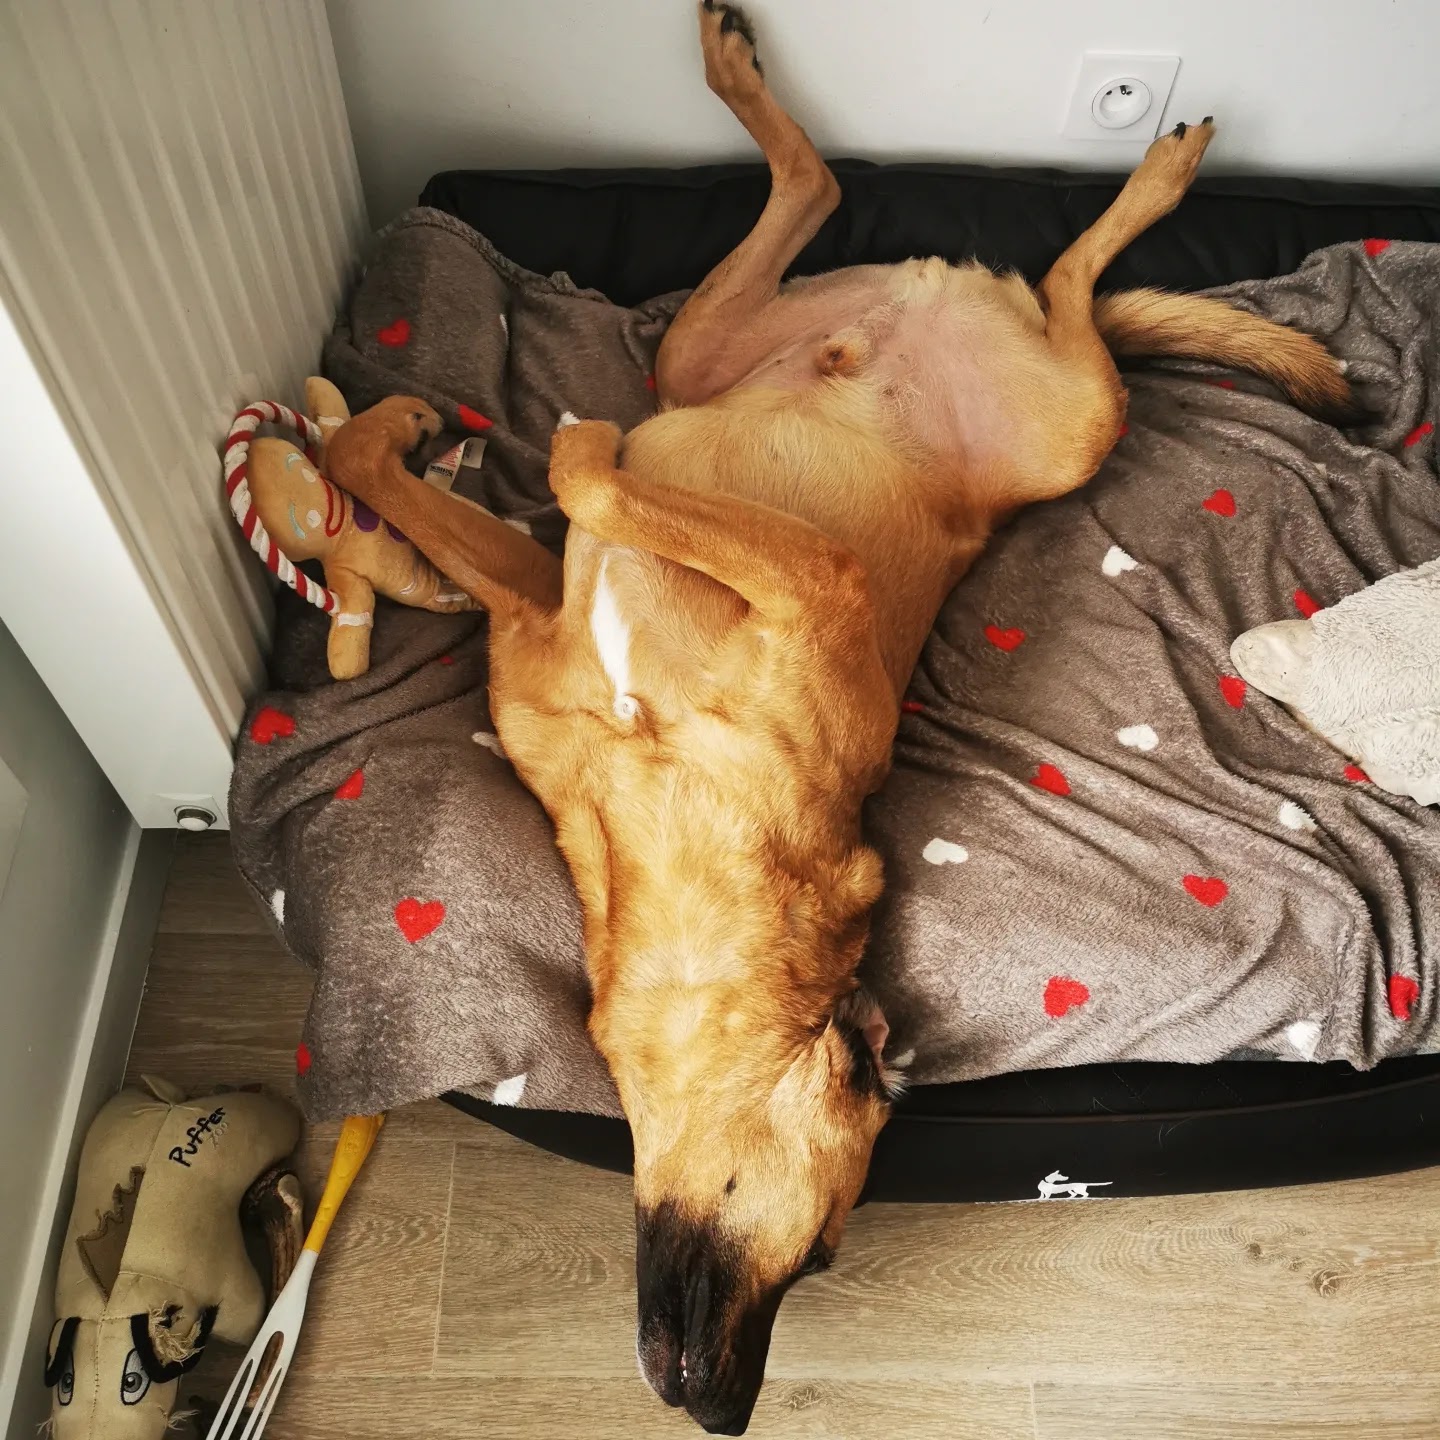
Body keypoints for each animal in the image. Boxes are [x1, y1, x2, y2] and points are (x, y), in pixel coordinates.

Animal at [327, 6, 1355, 1432]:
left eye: (819, 1259)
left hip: (1068, 428)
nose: (726, 1414)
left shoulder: (809, 583)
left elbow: (587, 479)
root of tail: (935, 310)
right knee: (872, 212)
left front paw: (524, 446)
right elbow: (422, 467)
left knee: (1062, 283)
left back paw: (1153, 174)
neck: (665, 819)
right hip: (708, 352)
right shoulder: (548, 602)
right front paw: (407, 427)